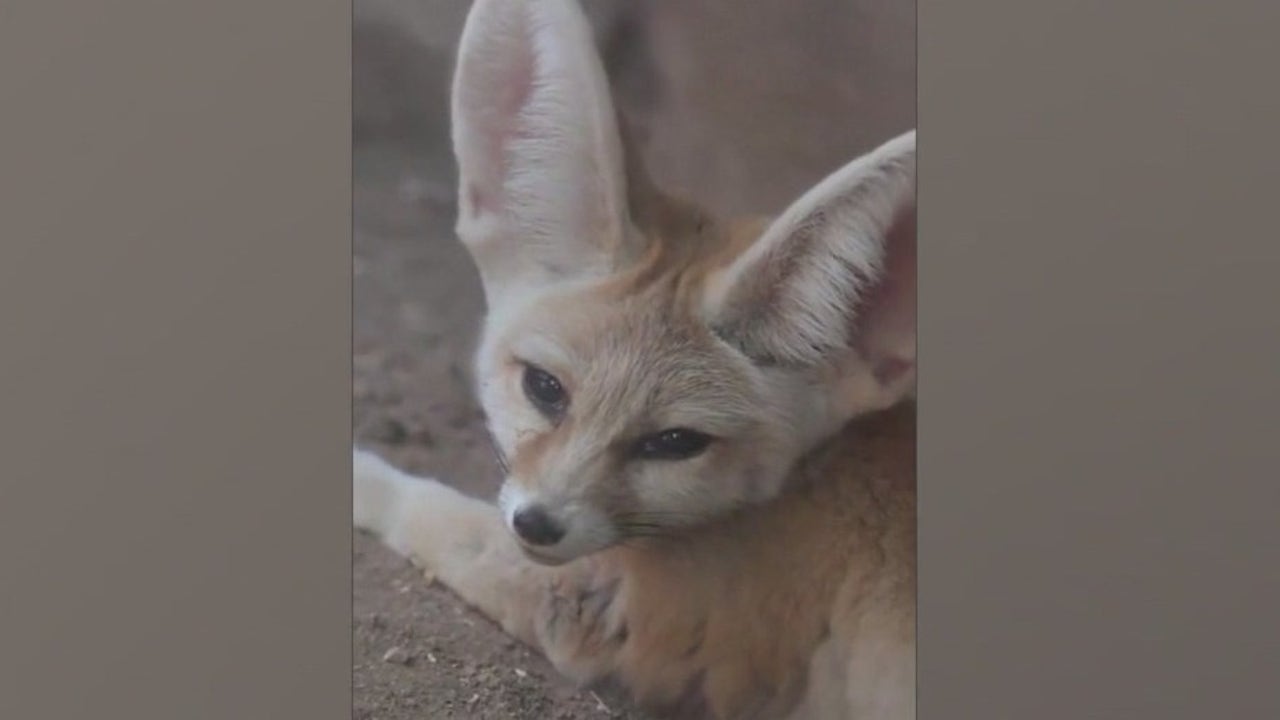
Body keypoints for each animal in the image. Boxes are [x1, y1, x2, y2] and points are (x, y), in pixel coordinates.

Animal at [355, 1, 916, 717]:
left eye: (676, 442)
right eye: (545, 388)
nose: (538, 523)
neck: (809, 481)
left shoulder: (602, 610)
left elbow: (433, 512)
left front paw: (363, 479)